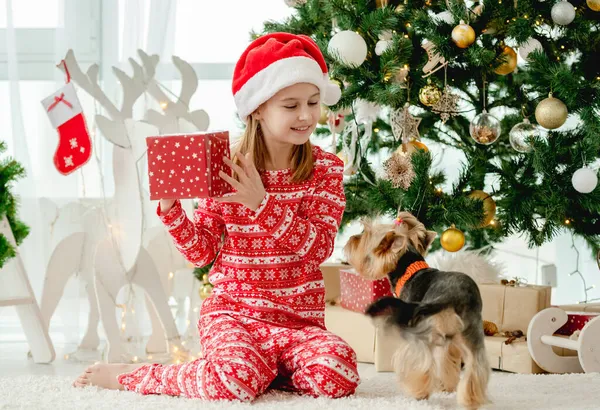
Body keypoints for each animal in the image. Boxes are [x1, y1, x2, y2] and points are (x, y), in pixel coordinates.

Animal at [344, 213, 490, 408]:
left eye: (366, 235)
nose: (351, 239)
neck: (410, 271)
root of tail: (455, 296)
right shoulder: (449, 344)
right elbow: (448, 363)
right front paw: (446, 386)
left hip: (424, 330)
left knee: (422, 360)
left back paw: (419, 393)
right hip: (471, 330)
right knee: (476, 365)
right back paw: (472, 399)